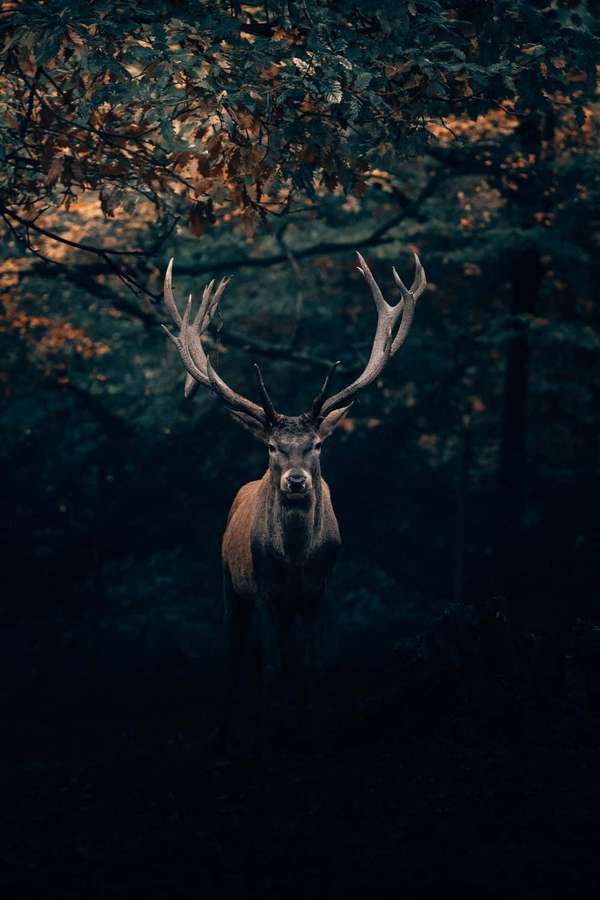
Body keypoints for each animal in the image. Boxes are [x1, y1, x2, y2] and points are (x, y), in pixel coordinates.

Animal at [161, 252, 426, 748]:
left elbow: (312, 665)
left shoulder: (320, 591)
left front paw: (313, 730)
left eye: (317, 444)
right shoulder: (265, 589)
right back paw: (225, 734)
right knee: (238, 655)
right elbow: (270, 668)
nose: (297, 481)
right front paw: (271, 730)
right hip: (230, 583)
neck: (297, 558)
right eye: (271, 446)